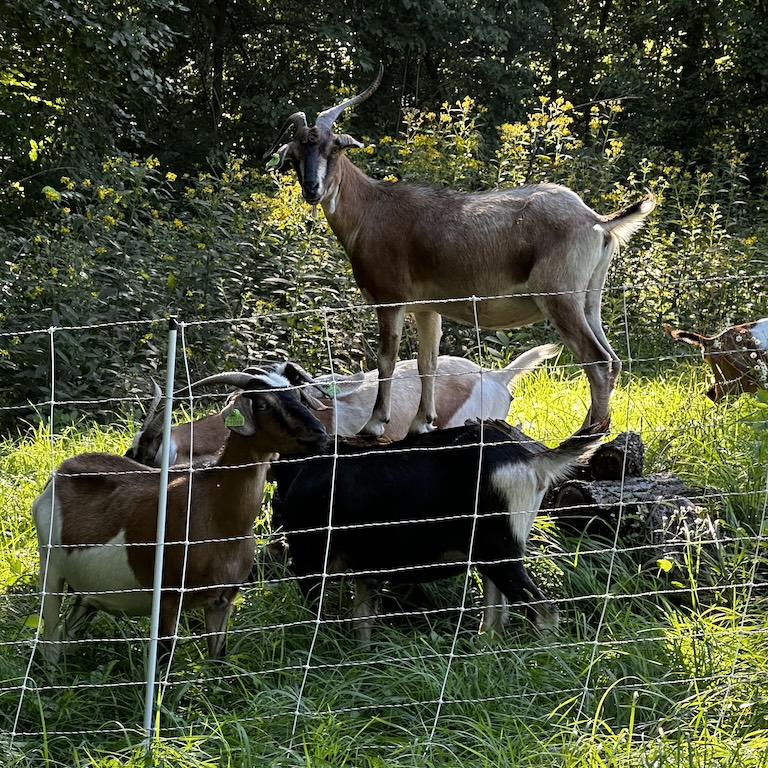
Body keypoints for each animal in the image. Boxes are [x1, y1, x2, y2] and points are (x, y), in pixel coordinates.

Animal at [32, 368, 328, 664]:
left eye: (297, 395)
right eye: (264, 404)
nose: (320, 434)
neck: (219, 517)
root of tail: (59, 473)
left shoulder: (222, 600)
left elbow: (218, 660)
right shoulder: (168, 598)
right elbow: (163, 657)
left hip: (88, 593)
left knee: (67, 630)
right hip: (50, 569)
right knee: (50, 638)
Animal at [264, 64, 656, 438]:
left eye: (333, 147)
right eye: (296, 153)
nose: (312, 189)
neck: (372, 209)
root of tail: (597, 220)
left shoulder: (390, 300)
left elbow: (387, 359)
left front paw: (375, 424)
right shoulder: (427, 308)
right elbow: (428, 363)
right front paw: (422, 423)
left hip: (560, 298)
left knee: (597, 361)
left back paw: (588, 434)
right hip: (589, 299)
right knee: (612, 360)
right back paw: (592, 426)